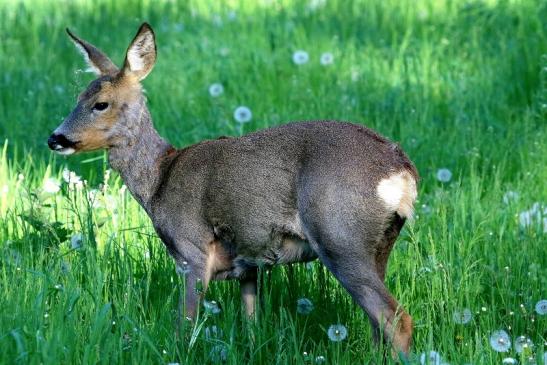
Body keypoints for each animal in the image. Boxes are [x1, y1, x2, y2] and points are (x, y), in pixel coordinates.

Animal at [48, 23, 420, 358]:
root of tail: (401, 171)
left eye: (100, 103)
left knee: (397, 319)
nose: (55, 138)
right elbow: (251, 324)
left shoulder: (193, 250)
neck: (160, 180)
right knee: (378, 323)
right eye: (77, 97)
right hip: (380, 244)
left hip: (340, 235)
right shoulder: (248, 262)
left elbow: (185, 326)